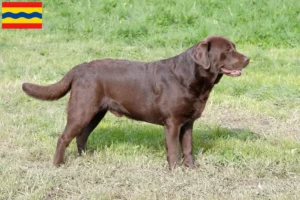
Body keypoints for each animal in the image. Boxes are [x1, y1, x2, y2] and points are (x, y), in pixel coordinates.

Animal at [22, 36, 250, 169]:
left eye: (235, 47)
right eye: (227, 50)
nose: (248, 58)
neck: (190, 76)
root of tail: (79, 67)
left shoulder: (187, 123)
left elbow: (187, 147)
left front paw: (191, 168)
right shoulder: (172, 122)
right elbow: (173, 150)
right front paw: (175, 171)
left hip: (96, 112)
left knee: (81, 136)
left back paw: (86, 157)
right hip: (82, 109)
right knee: (64, 137)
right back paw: (57, 164)